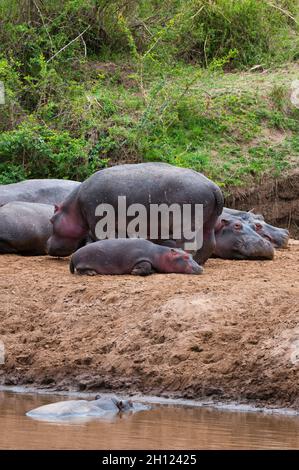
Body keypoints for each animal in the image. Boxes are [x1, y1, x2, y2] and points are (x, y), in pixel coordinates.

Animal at [47, 162, 225, 264]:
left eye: (51, 220)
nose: (47, 244)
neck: (74, 205)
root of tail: (213, 187)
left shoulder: (97, 221)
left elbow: (101, 238)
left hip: (187, 223)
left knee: (189, 243)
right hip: (209, 222)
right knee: (209, 243)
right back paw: (199, 262)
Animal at [69, 239, 204, 276]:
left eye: (190, 255)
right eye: (185, 257)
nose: (201, 268)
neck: (160, 254)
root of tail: (73, 255)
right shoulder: (141, 257)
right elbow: (146, 266)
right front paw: (134, 271)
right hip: (83, 262)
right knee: (79, 270)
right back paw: (91, 273)